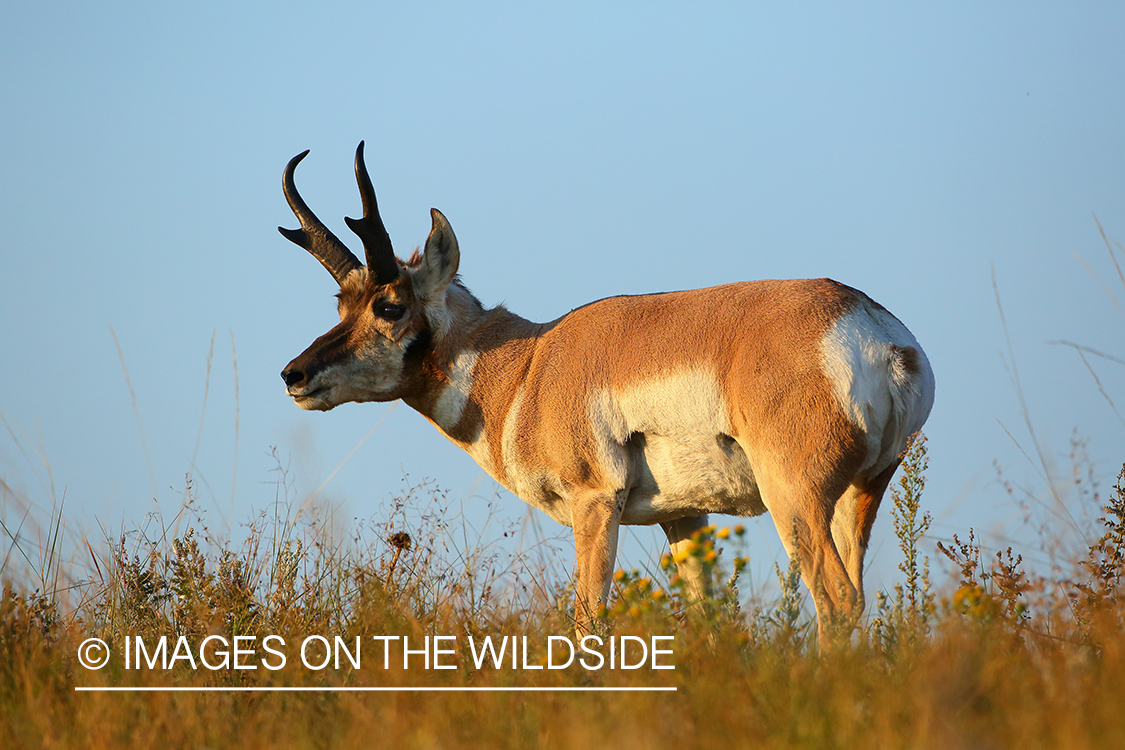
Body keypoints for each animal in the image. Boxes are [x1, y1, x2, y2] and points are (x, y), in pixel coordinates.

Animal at [276, 142, 936, 647]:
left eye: (390, 306)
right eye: (342, 303)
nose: (294, 375)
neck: (529, 365)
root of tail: (877, 332)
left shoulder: (595, 503)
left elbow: (587, 622)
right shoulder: (684, 518)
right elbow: (707, 619)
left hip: (793, 497)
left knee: (838, 601)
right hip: (858, 495)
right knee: (855, 593)